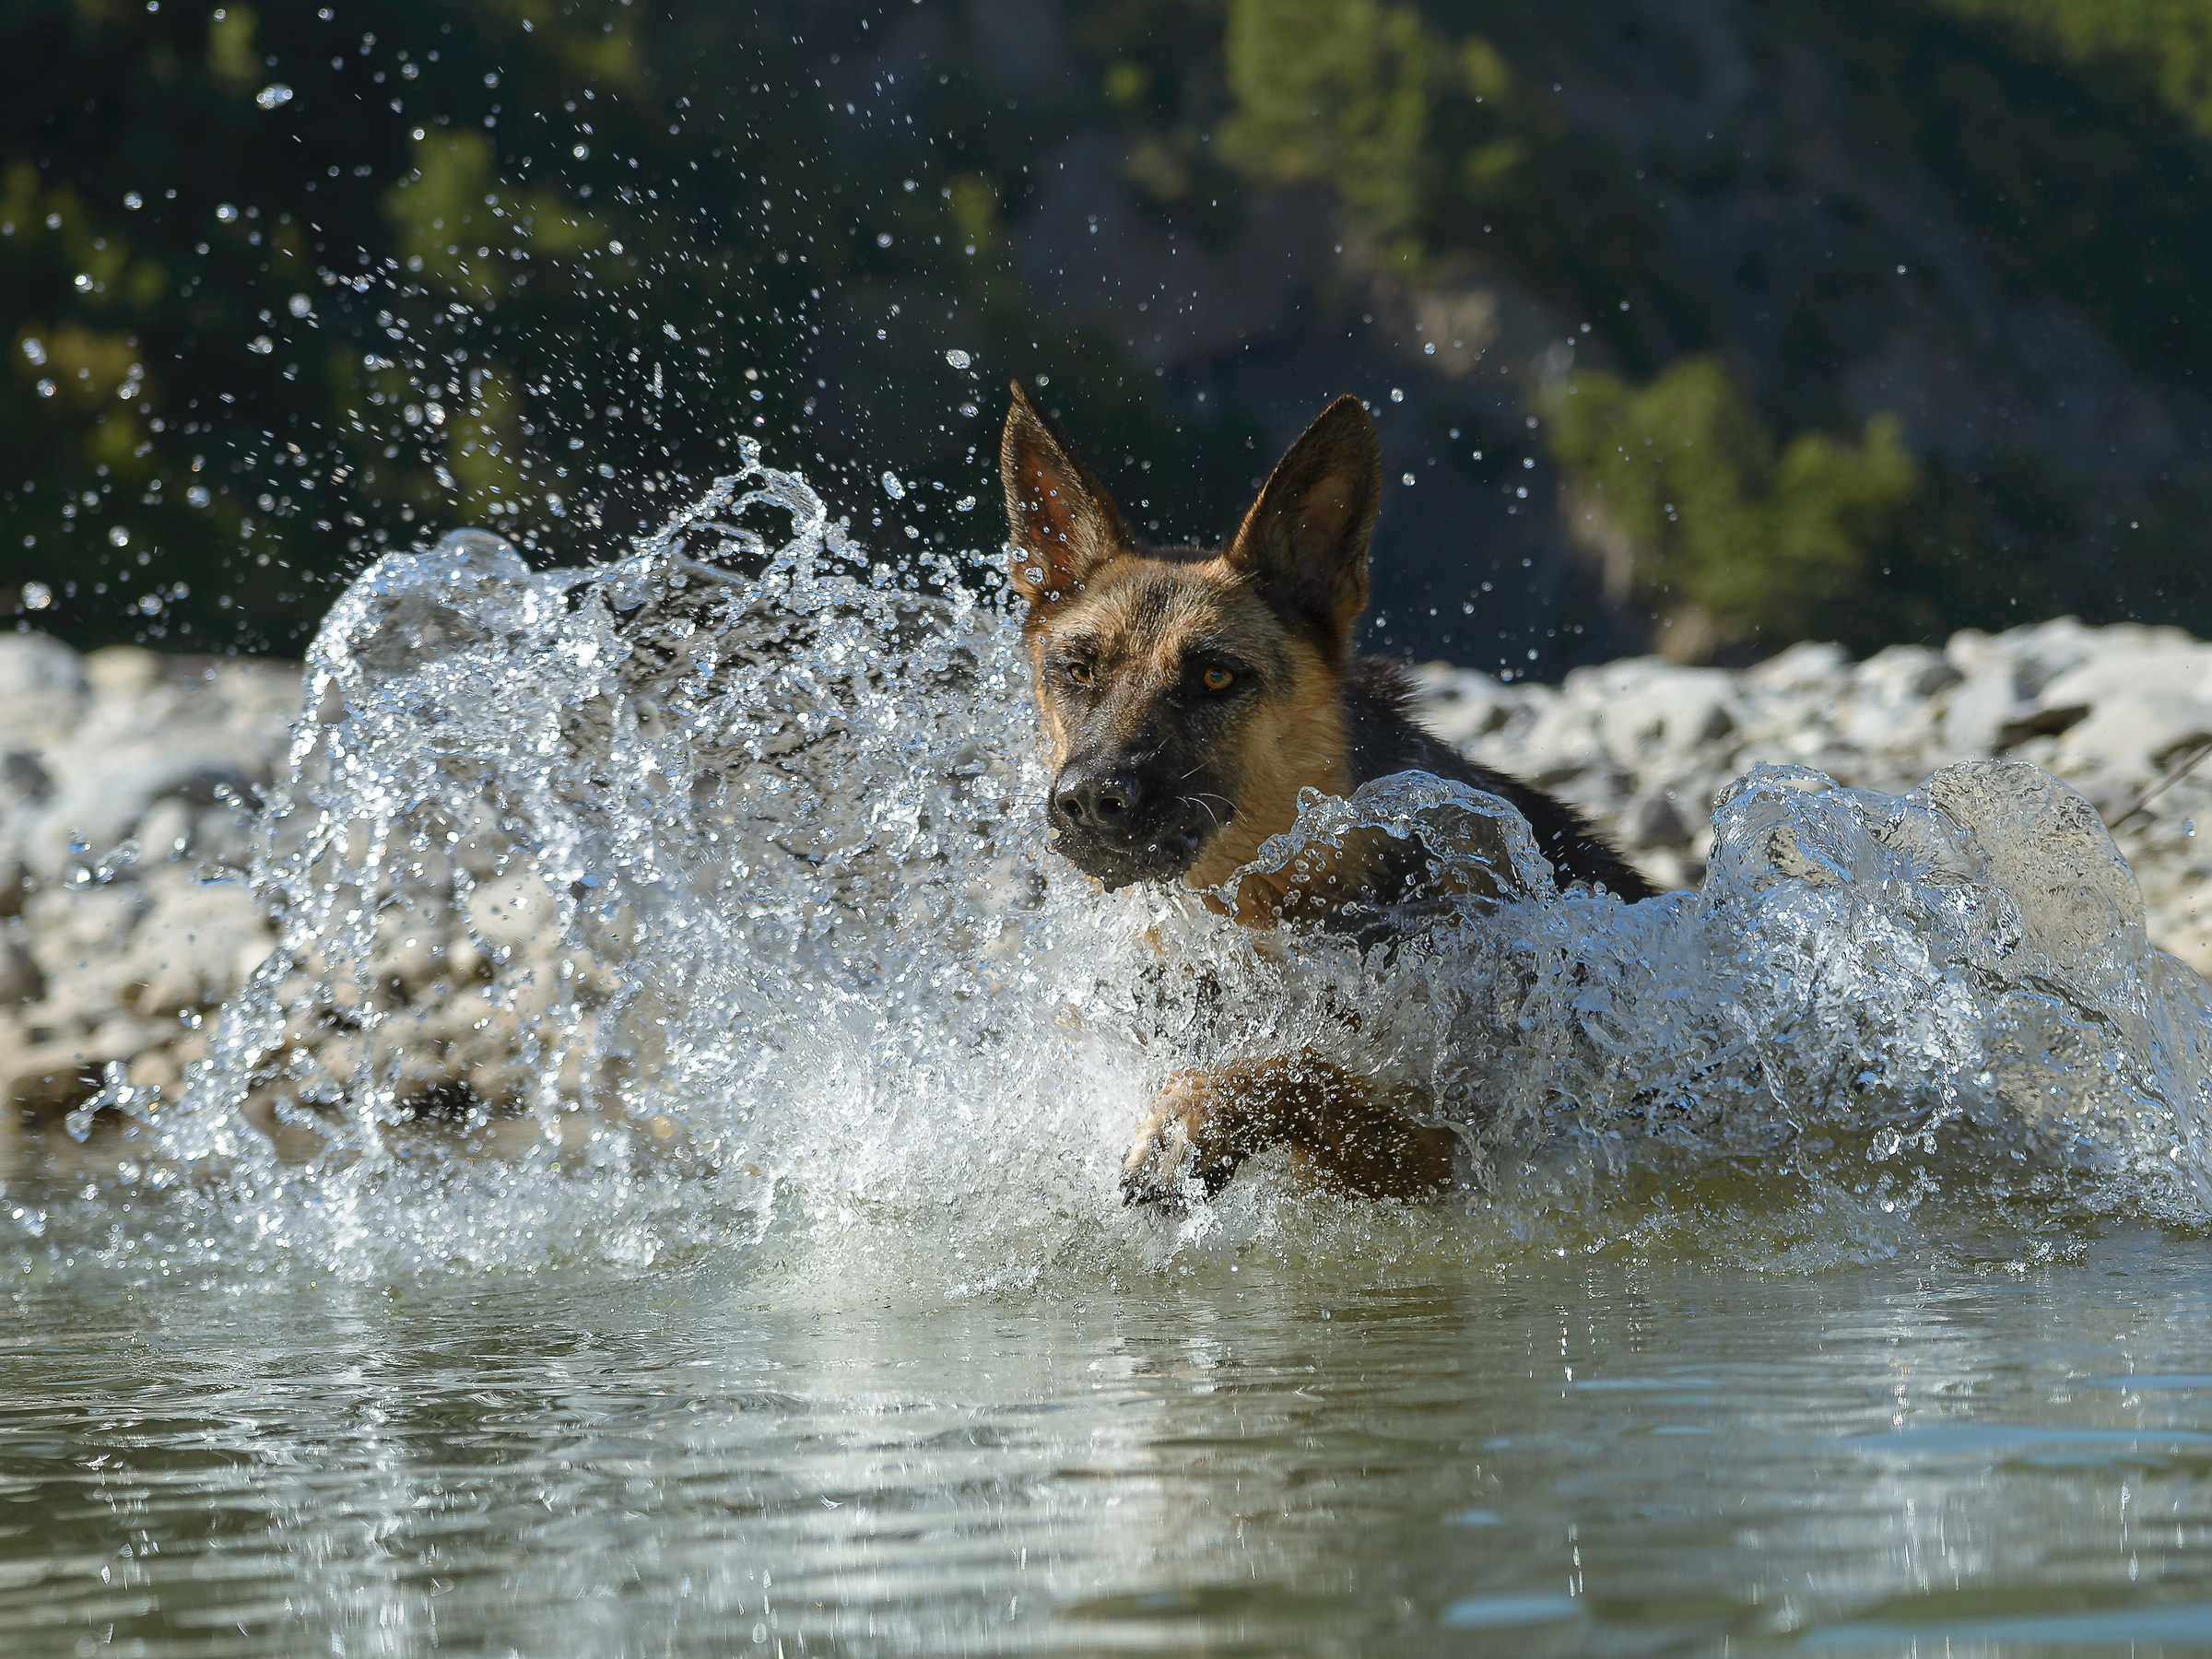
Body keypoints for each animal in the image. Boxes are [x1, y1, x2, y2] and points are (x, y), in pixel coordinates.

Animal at [995, 380, 1654, 1212]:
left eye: (1216, 676)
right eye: (1078, 671)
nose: (1088, 801)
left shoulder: (1458, 1158)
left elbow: (1301, 1068)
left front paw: (1195, 1119)